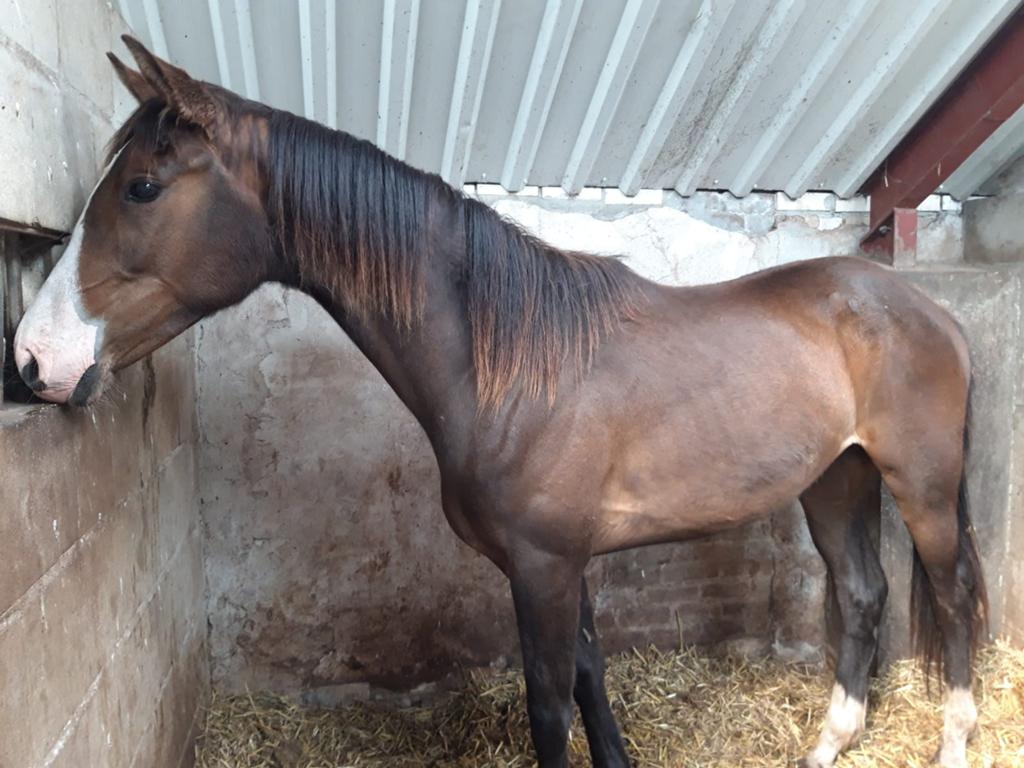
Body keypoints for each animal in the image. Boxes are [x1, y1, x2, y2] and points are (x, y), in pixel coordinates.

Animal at [14, 37, 987, 768]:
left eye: (142, 186)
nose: (32, 357)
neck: (510, 369)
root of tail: (928, 308)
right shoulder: (563, 565)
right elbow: (590, 678)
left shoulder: (544, 565)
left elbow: (549, 704)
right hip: (835, 481)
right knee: (861, 593)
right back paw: (828, 743)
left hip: (922, 488)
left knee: (952, 599)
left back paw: (951, 743)